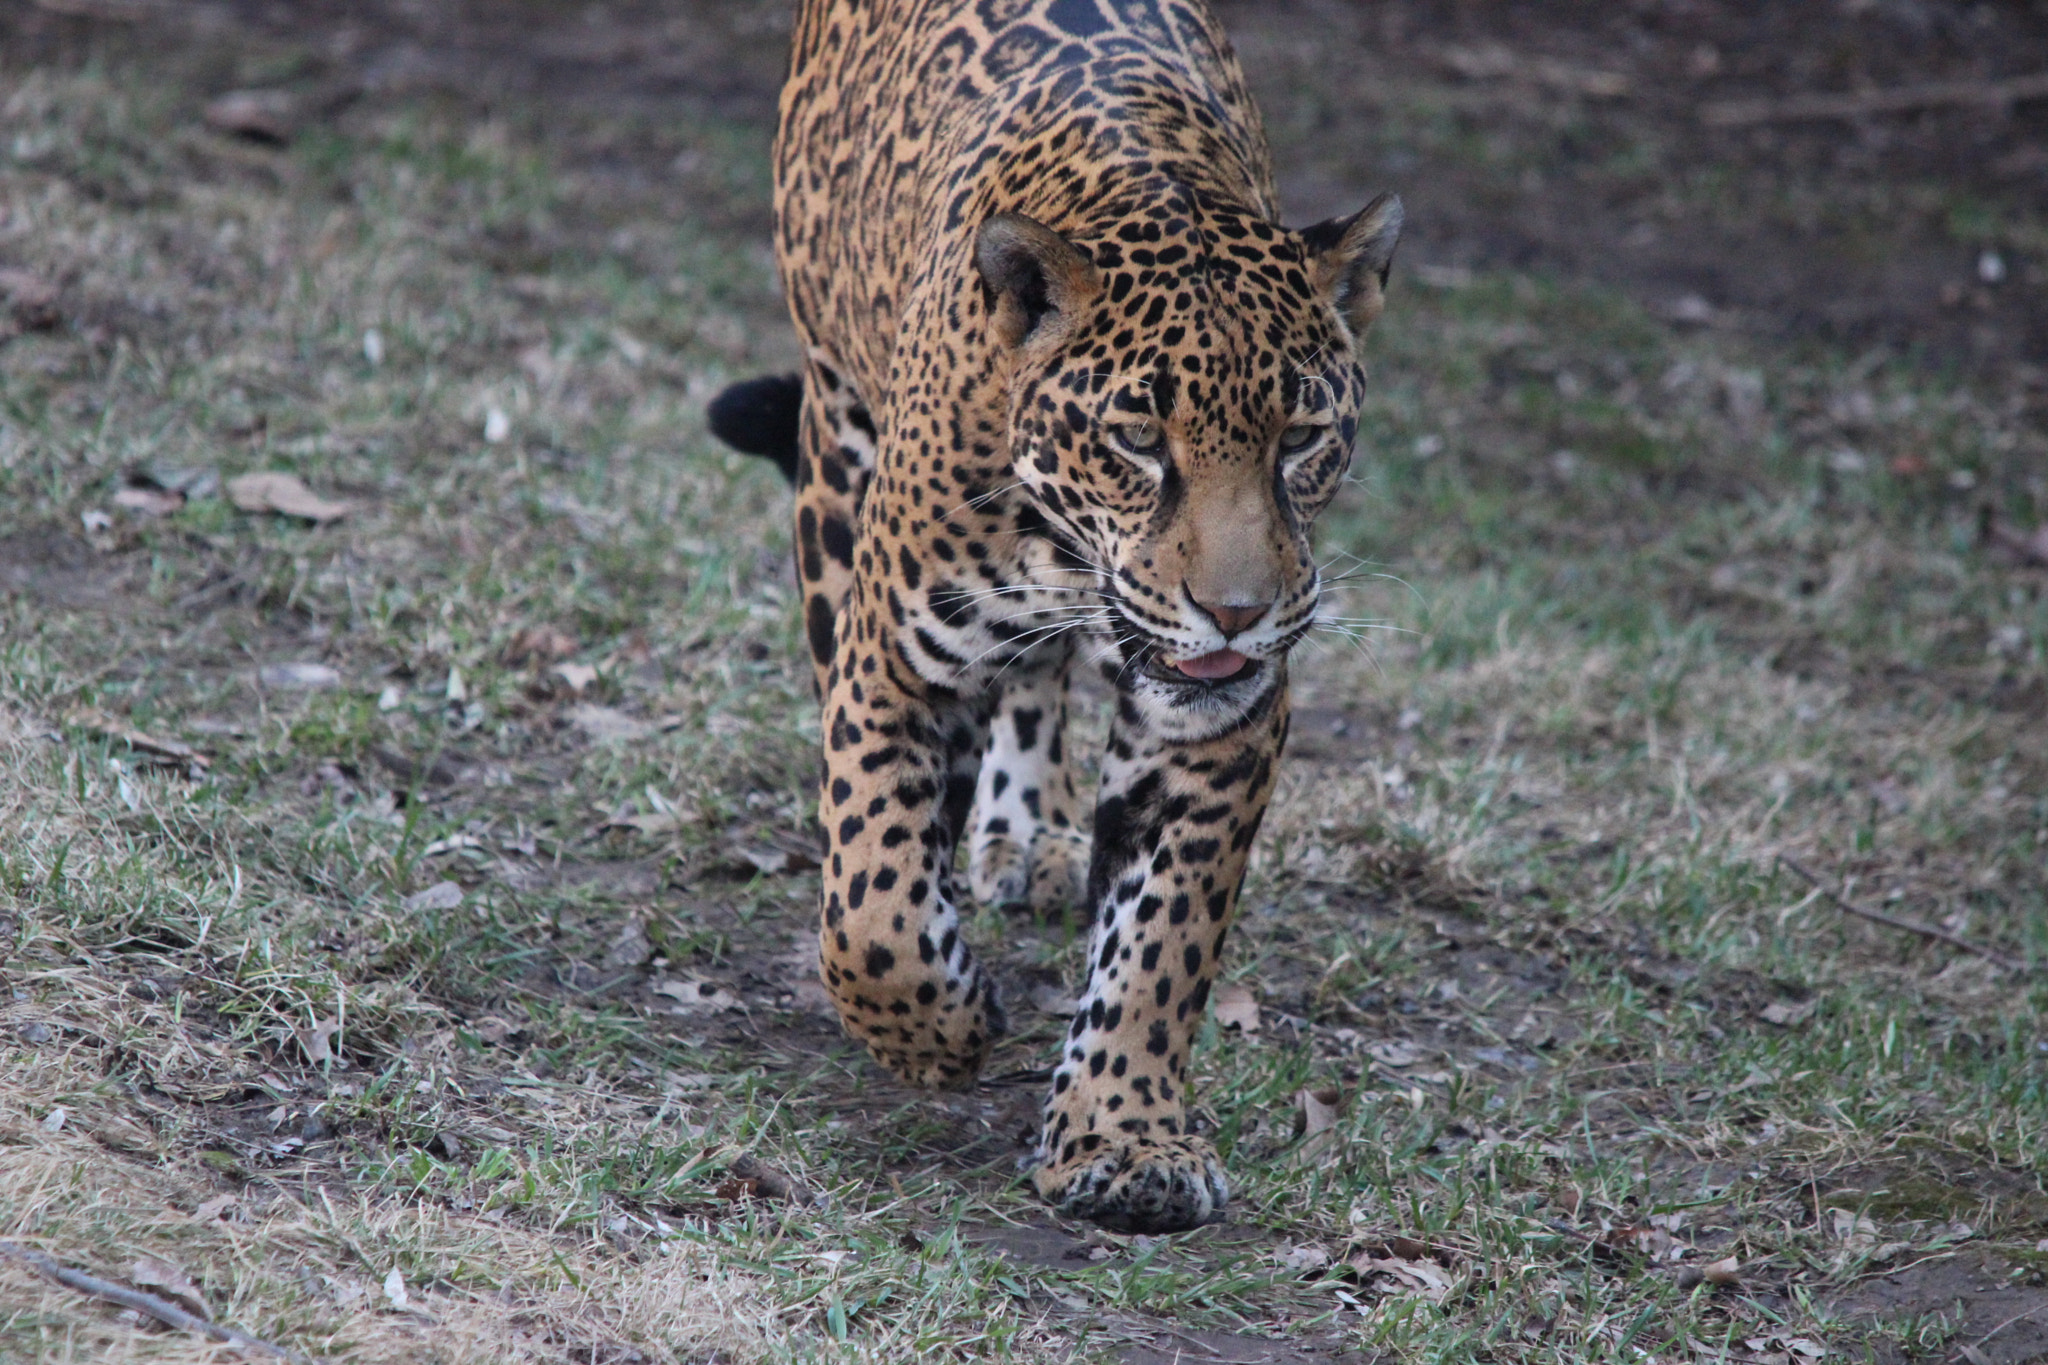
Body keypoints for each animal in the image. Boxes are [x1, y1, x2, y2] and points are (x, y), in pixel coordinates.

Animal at [707, 0, 1401, 1234]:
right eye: (1137, 440)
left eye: (1300, 440)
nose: (1235, 613)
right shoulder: (893, 660)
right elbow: (870, 903)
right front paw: (941, 1031)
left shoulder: (1219, 723)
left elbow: (1164, 938)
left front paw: (1124, 1138)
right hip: (832, 441)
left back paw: (1021, 827)